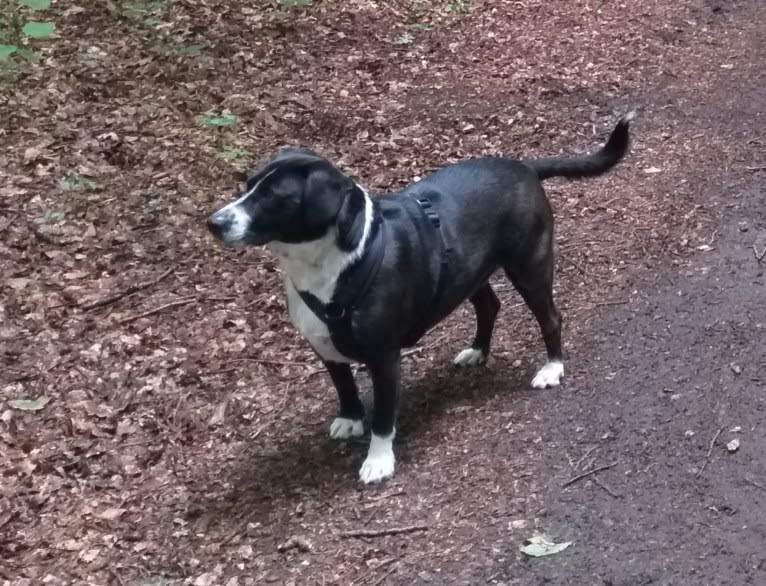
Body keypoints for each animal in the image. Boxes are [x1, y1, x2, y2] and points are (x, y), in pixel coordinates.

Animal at [207, 112, 632, 482]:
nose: (214, 223)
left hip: (529, 266)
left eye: (274, 197)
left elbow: (383, 417)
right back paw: (478, 351)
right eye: (247, 185)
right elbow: (344, 385)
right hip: (467, 272)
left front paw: (378, 460)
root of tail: (523, 167)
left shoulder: (384, 357)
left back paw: (552, 367)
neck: (327, 264)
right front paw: (350, 417)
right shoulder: (324, 344)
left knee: (550, 318)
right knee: (489, 305)